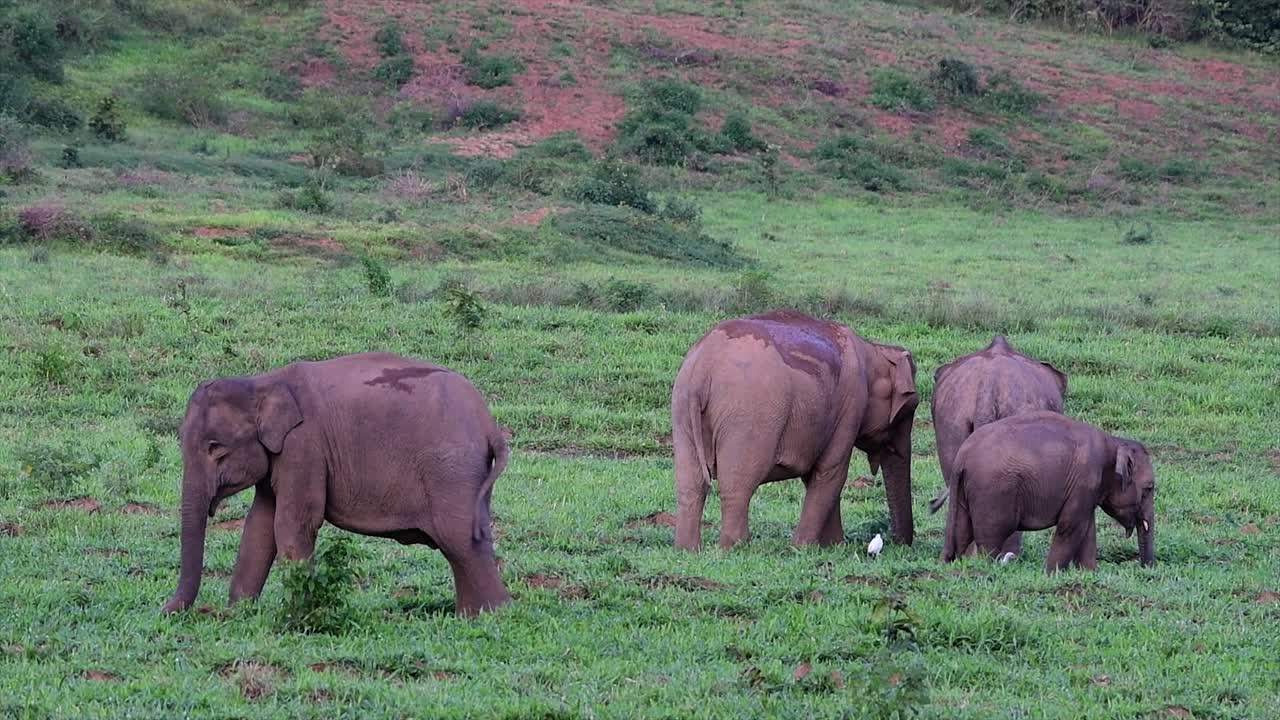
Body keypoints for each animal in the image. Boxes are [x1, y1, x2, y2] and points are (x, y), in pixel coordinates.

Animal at [161, 352, 512, 617]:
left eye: (215, 448)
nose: (165, 612)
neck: (263, 382)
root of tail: (489, 425)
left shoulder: (304, 447)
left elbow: (292, 524)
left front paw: (301, 613)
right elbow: (259, 525)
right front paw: (239, 613)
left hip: (450, 470)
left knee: (461, 541)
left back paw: (493, 616)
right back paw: (470, 616)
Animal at [671, 310, 920, 551]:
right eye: (908, 410)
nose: (899, 544)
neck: (873, 350)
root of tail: (703, 367)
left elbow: (817, 477)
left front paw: (832, 547)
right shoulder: (851, 406)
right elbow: (832, 473)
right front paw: (804, 548)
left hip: (682, 410)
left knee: (690, 483)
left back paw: (687, 550)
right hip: (749, 416)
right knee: (738, 483)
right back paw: (735, 548)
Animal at [943, 411, 1156, 572]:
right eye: (1149, 488)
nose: (1144, 569)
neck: (1113, 444)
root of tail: (961, 457)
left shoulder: (1087, 490)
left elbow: (1087, 529)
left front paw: (1087, 572)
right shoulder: (1084, 481)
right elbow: (1070, 527)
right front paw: (1052, 573)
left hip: (965, 493)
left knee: (962, 533)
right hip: (993, 494)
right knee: (990, 541)